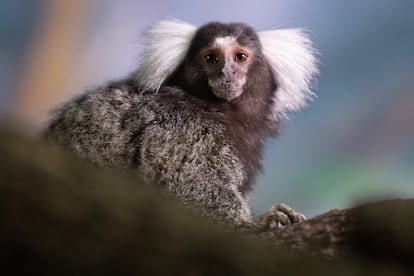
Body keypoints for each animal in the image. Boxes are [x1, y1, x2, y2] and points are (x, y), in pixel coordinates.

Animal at [43, 19, 318, 230]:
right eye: (211, 58)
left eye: (240, 57)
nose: (226, 75)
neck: (217, 108)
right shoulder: (183, 128)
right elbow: (187, 182)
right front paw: (254, 222)